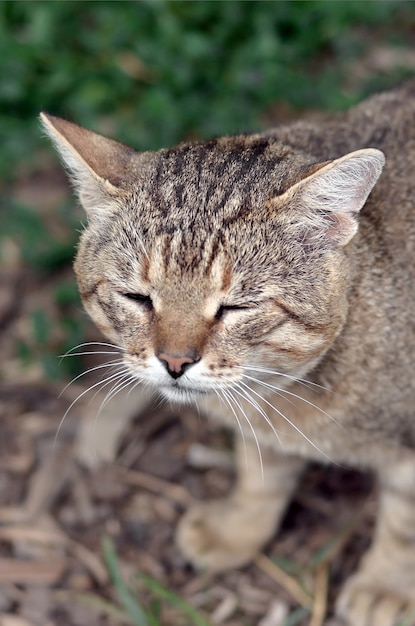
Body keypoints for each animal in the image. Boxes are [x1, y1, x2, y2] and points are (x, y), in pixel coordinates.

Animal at [40, 79, 415, 624]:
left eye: (236, 307)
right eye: (137, 298)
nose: (174, 361)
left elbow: (404, 523)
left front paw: (388, 585)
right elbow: (260, 474)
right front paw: (238, 529)